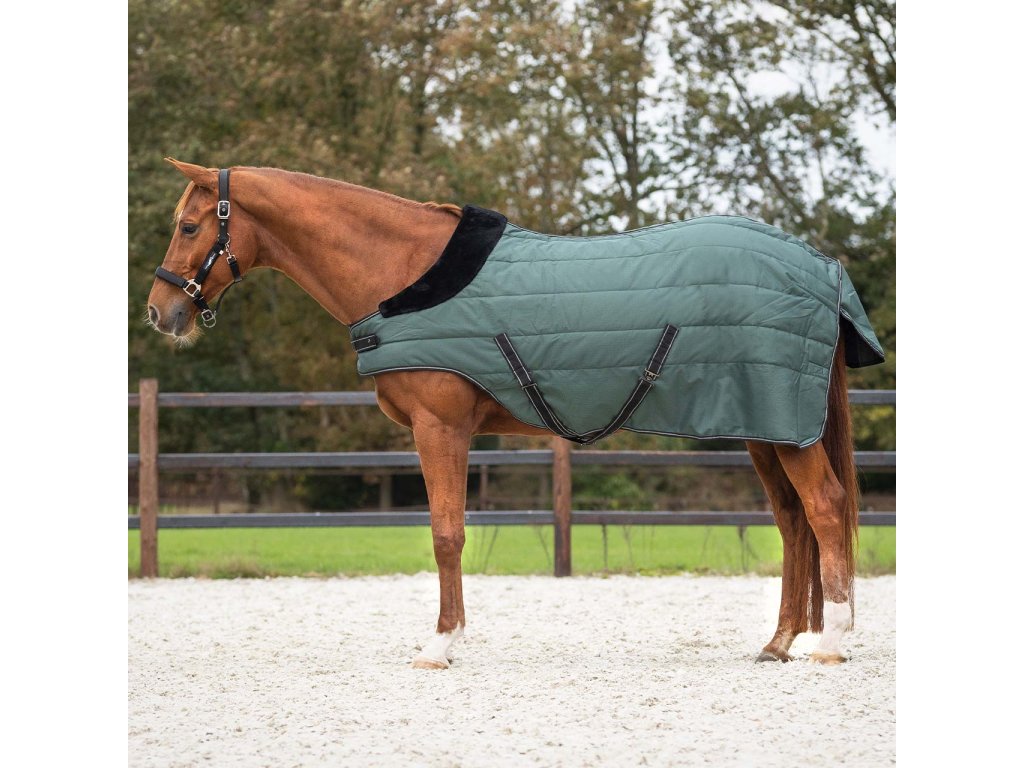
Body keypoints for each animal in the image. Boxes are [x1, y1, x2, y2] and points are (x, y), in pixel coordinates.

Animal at [145, 159, 881, 668]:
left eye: (189, 226)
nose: (161, 313)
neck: (405, 272)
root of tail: (820, 266)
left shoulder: (441, 428)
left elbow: (446, 534)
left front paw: (440, 645)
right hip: (764, 425)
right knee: (793, 522)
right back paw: (779, 642)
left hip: (783, 427)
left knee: (823, 507)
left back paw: (831, 643)